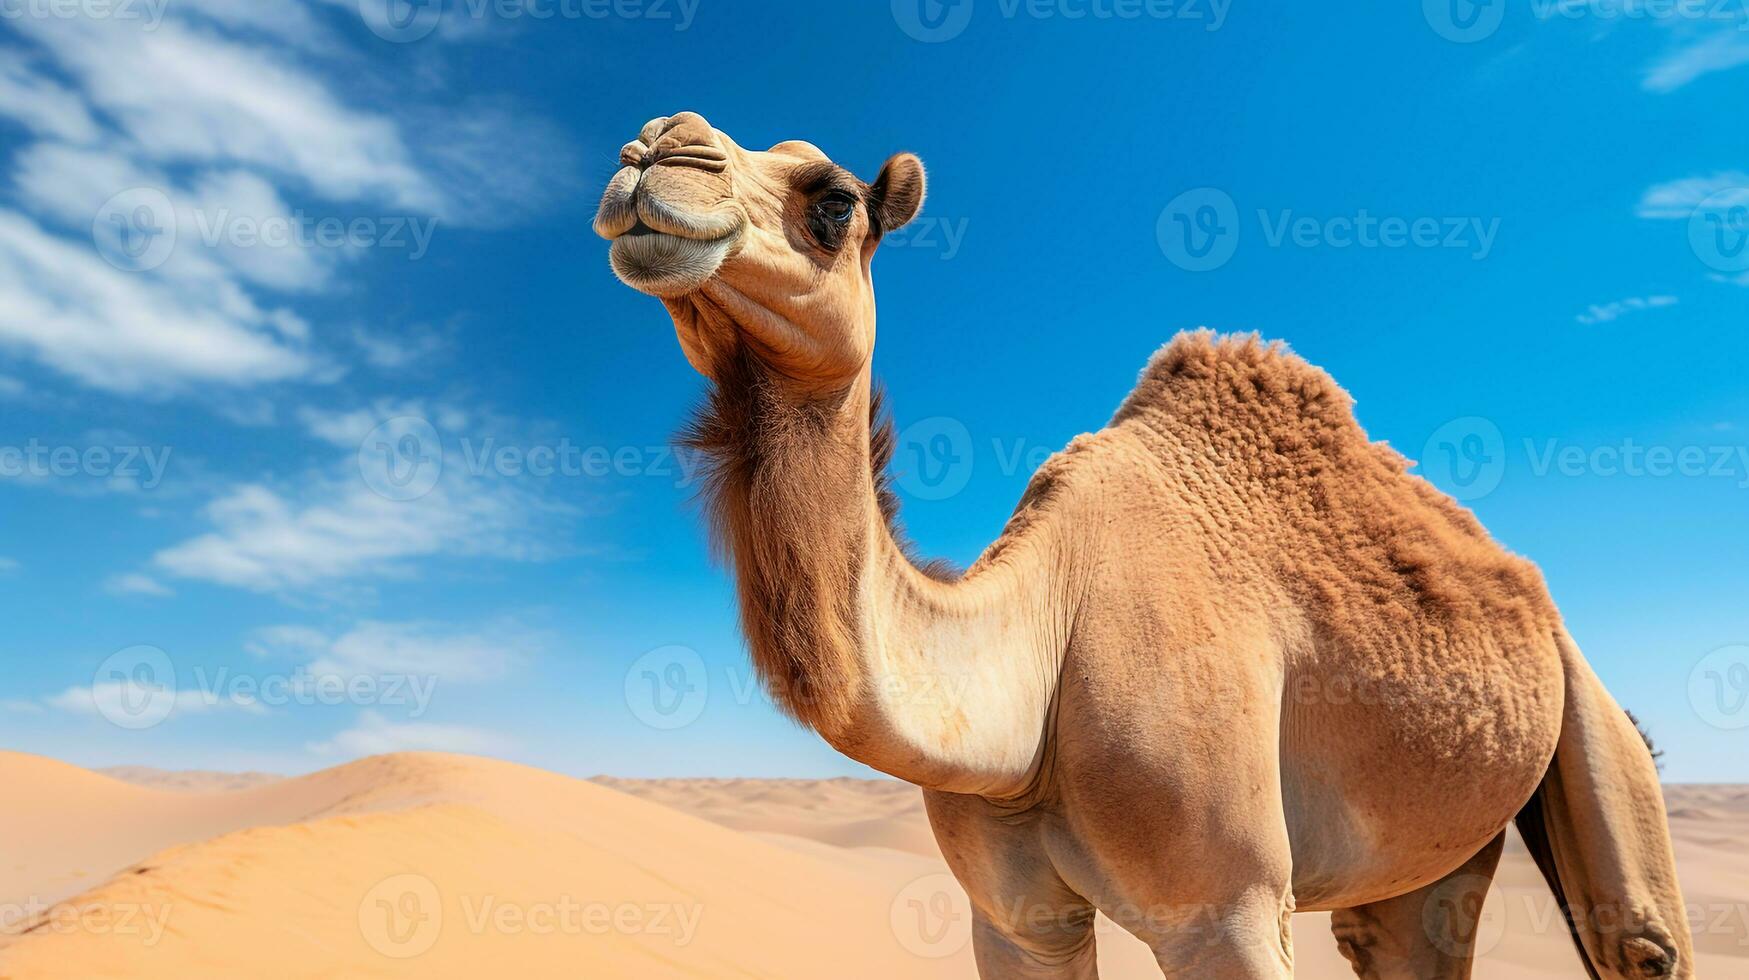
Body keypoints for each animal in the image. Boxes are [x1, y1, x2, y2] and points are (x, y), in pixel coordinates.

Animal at [598, 111, 1693, 973]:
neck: (1033, 671)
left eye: (833, 203)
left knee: (1640, 937)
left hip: (1593, 726)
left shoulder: (1228, 907)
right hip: (1429, 847)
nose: (655, 146)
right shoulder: (1015, 917)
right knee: (1396, 931)